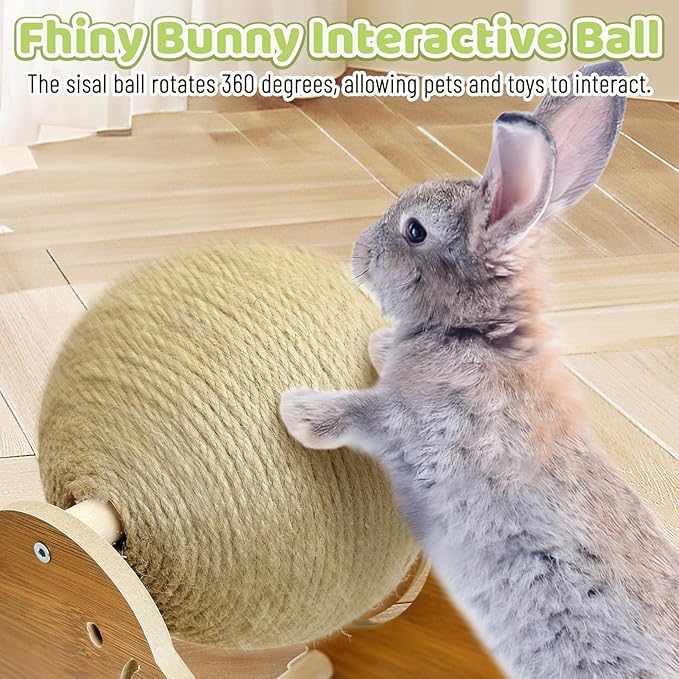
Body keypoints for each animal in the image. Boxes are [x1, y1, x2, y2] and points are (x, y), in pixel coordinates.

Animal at [279, 61, 679, 679]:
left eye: (415, 231)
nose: (358, 253)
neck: (482, 333)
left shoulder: (423, 422)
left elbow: (364, 411)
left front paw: (297, 411)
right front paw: (379, 344)